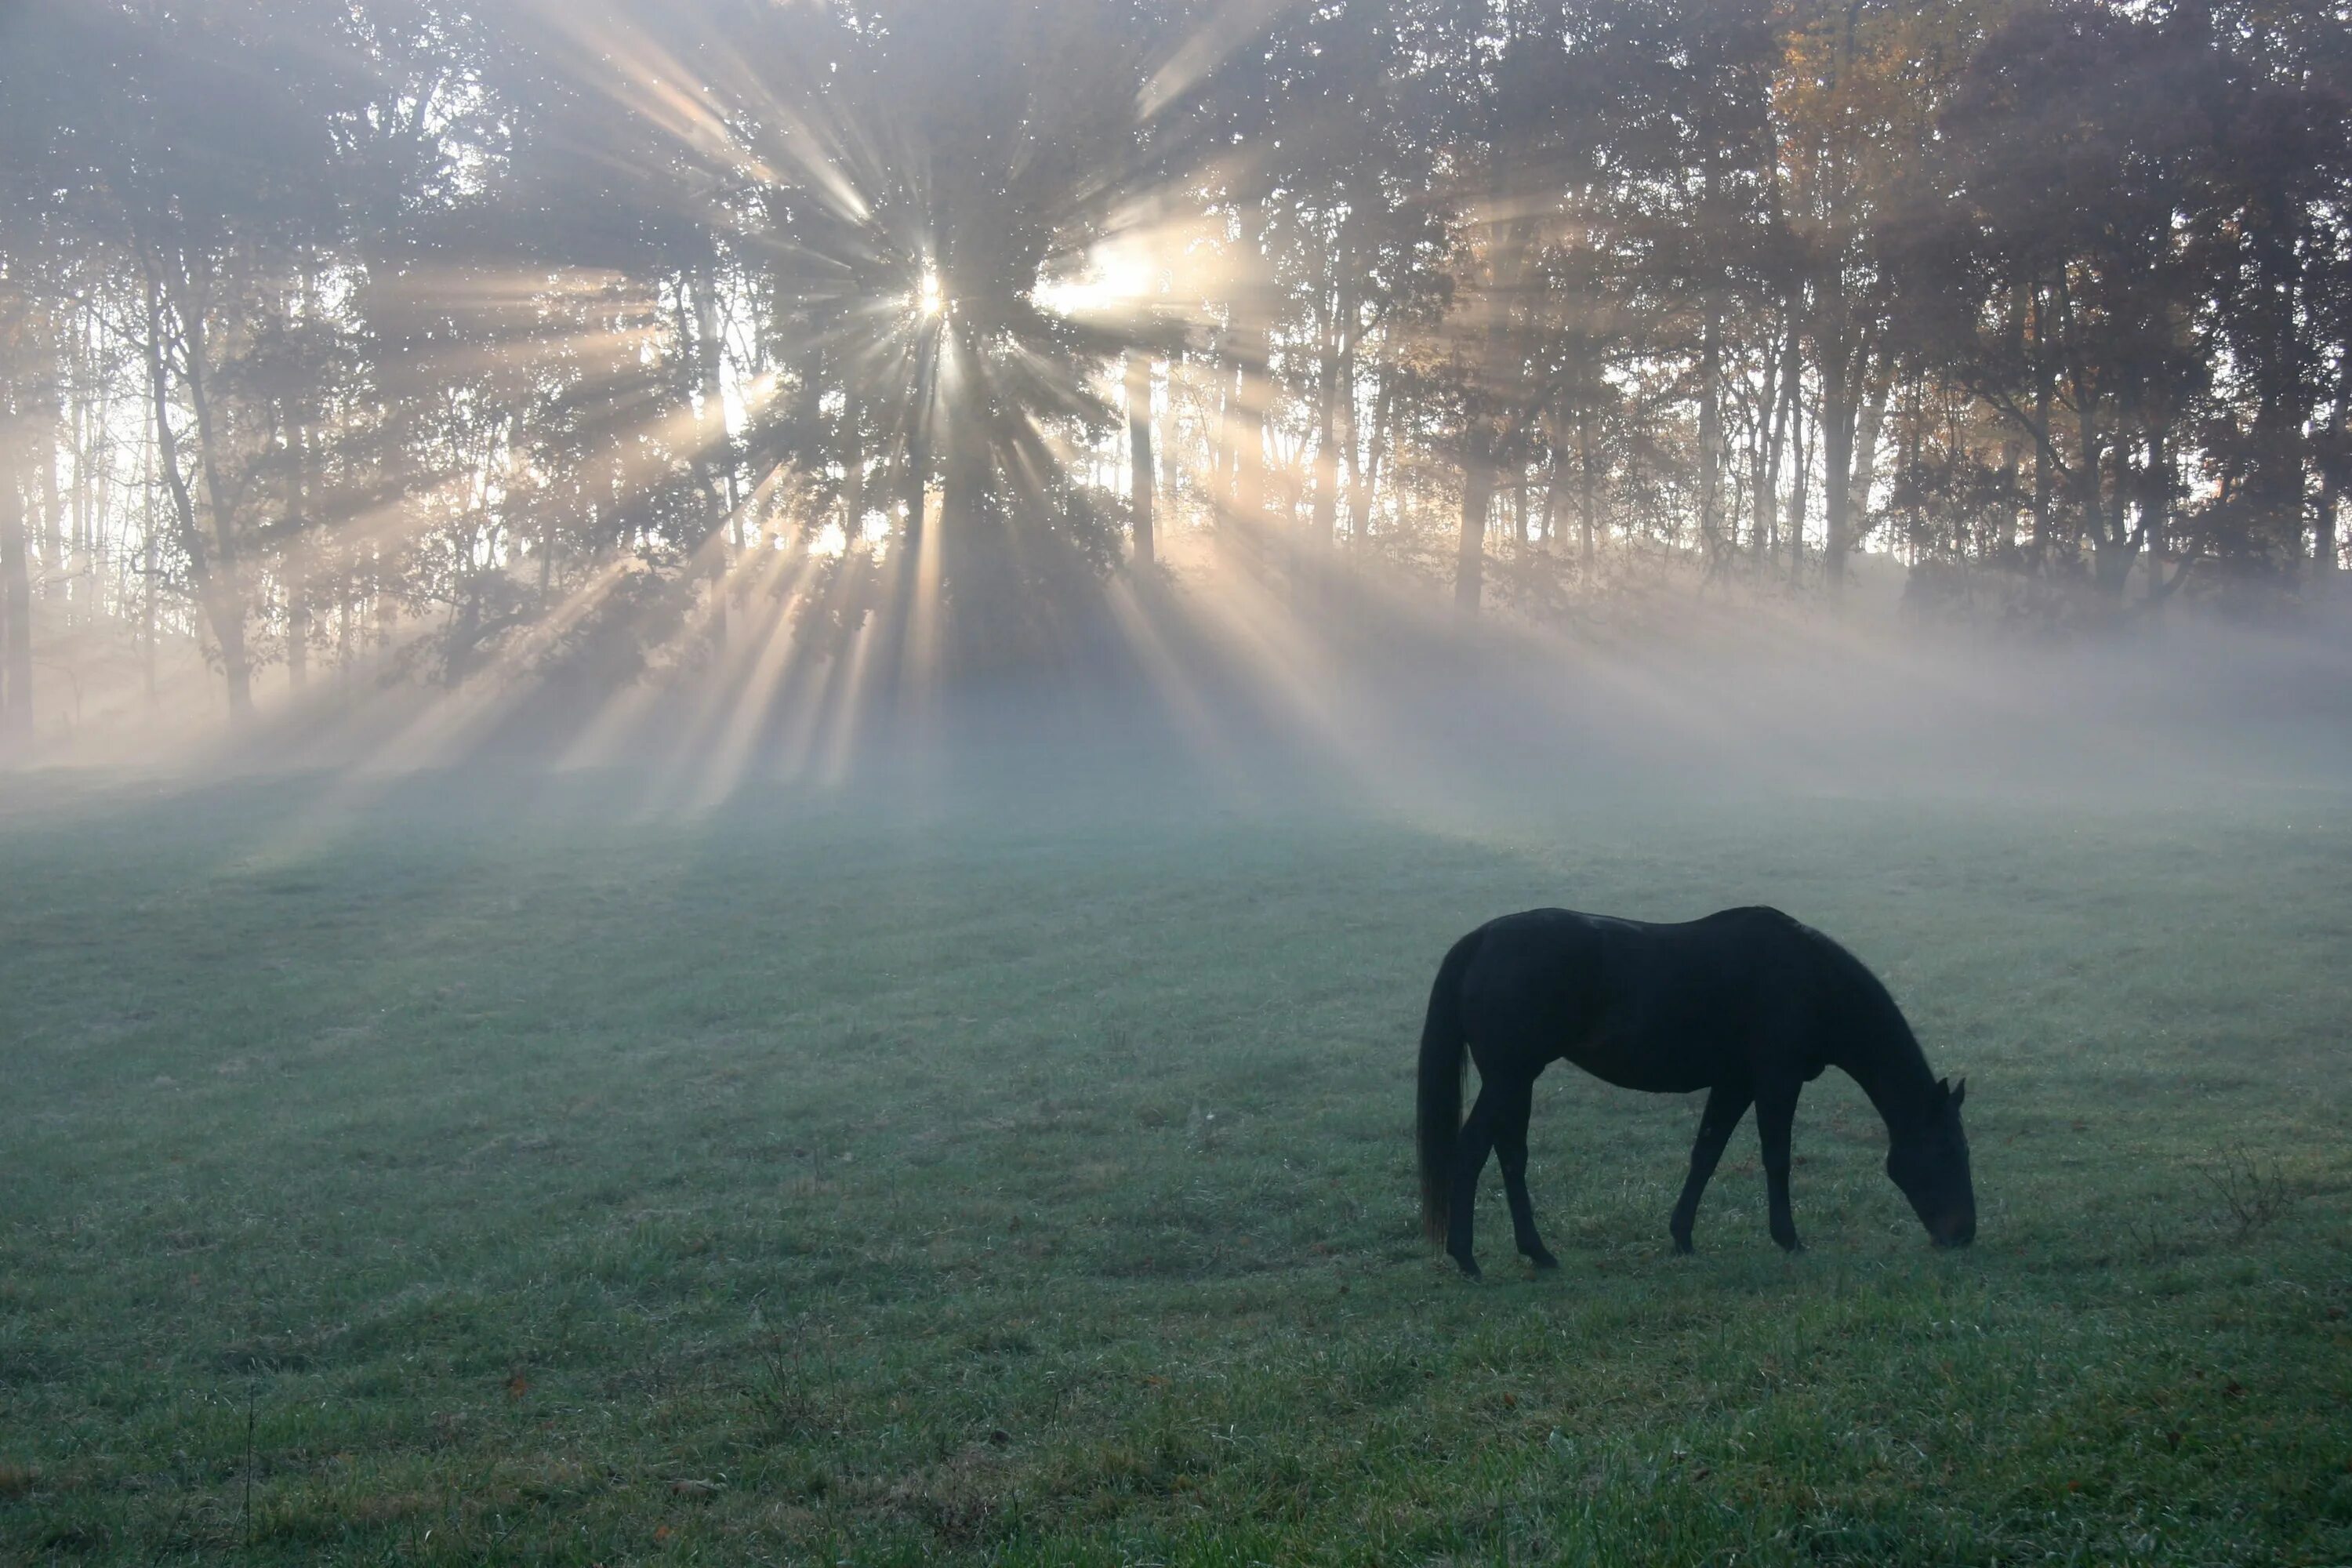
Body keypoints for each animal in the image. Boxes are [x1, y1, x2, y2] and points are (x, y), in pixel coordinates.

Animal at [1421, 907, 1976, 1279]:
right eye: (1948, 1151)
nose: (1964, 1234)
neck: (1809, 979)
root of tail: (1483, 938)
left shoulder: (1735, 1082)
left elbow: (1706, 1153)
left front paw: (1682, 1236)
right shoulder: (1777, 1079)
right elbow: (1777, 1157)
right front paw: (1789, 1238)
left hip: (1515, 1081)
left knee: (1510, 1157)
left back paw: (1537, 1252)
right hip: (1510, 1078)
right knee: (1471, 1153)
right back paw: (1467, 1258)